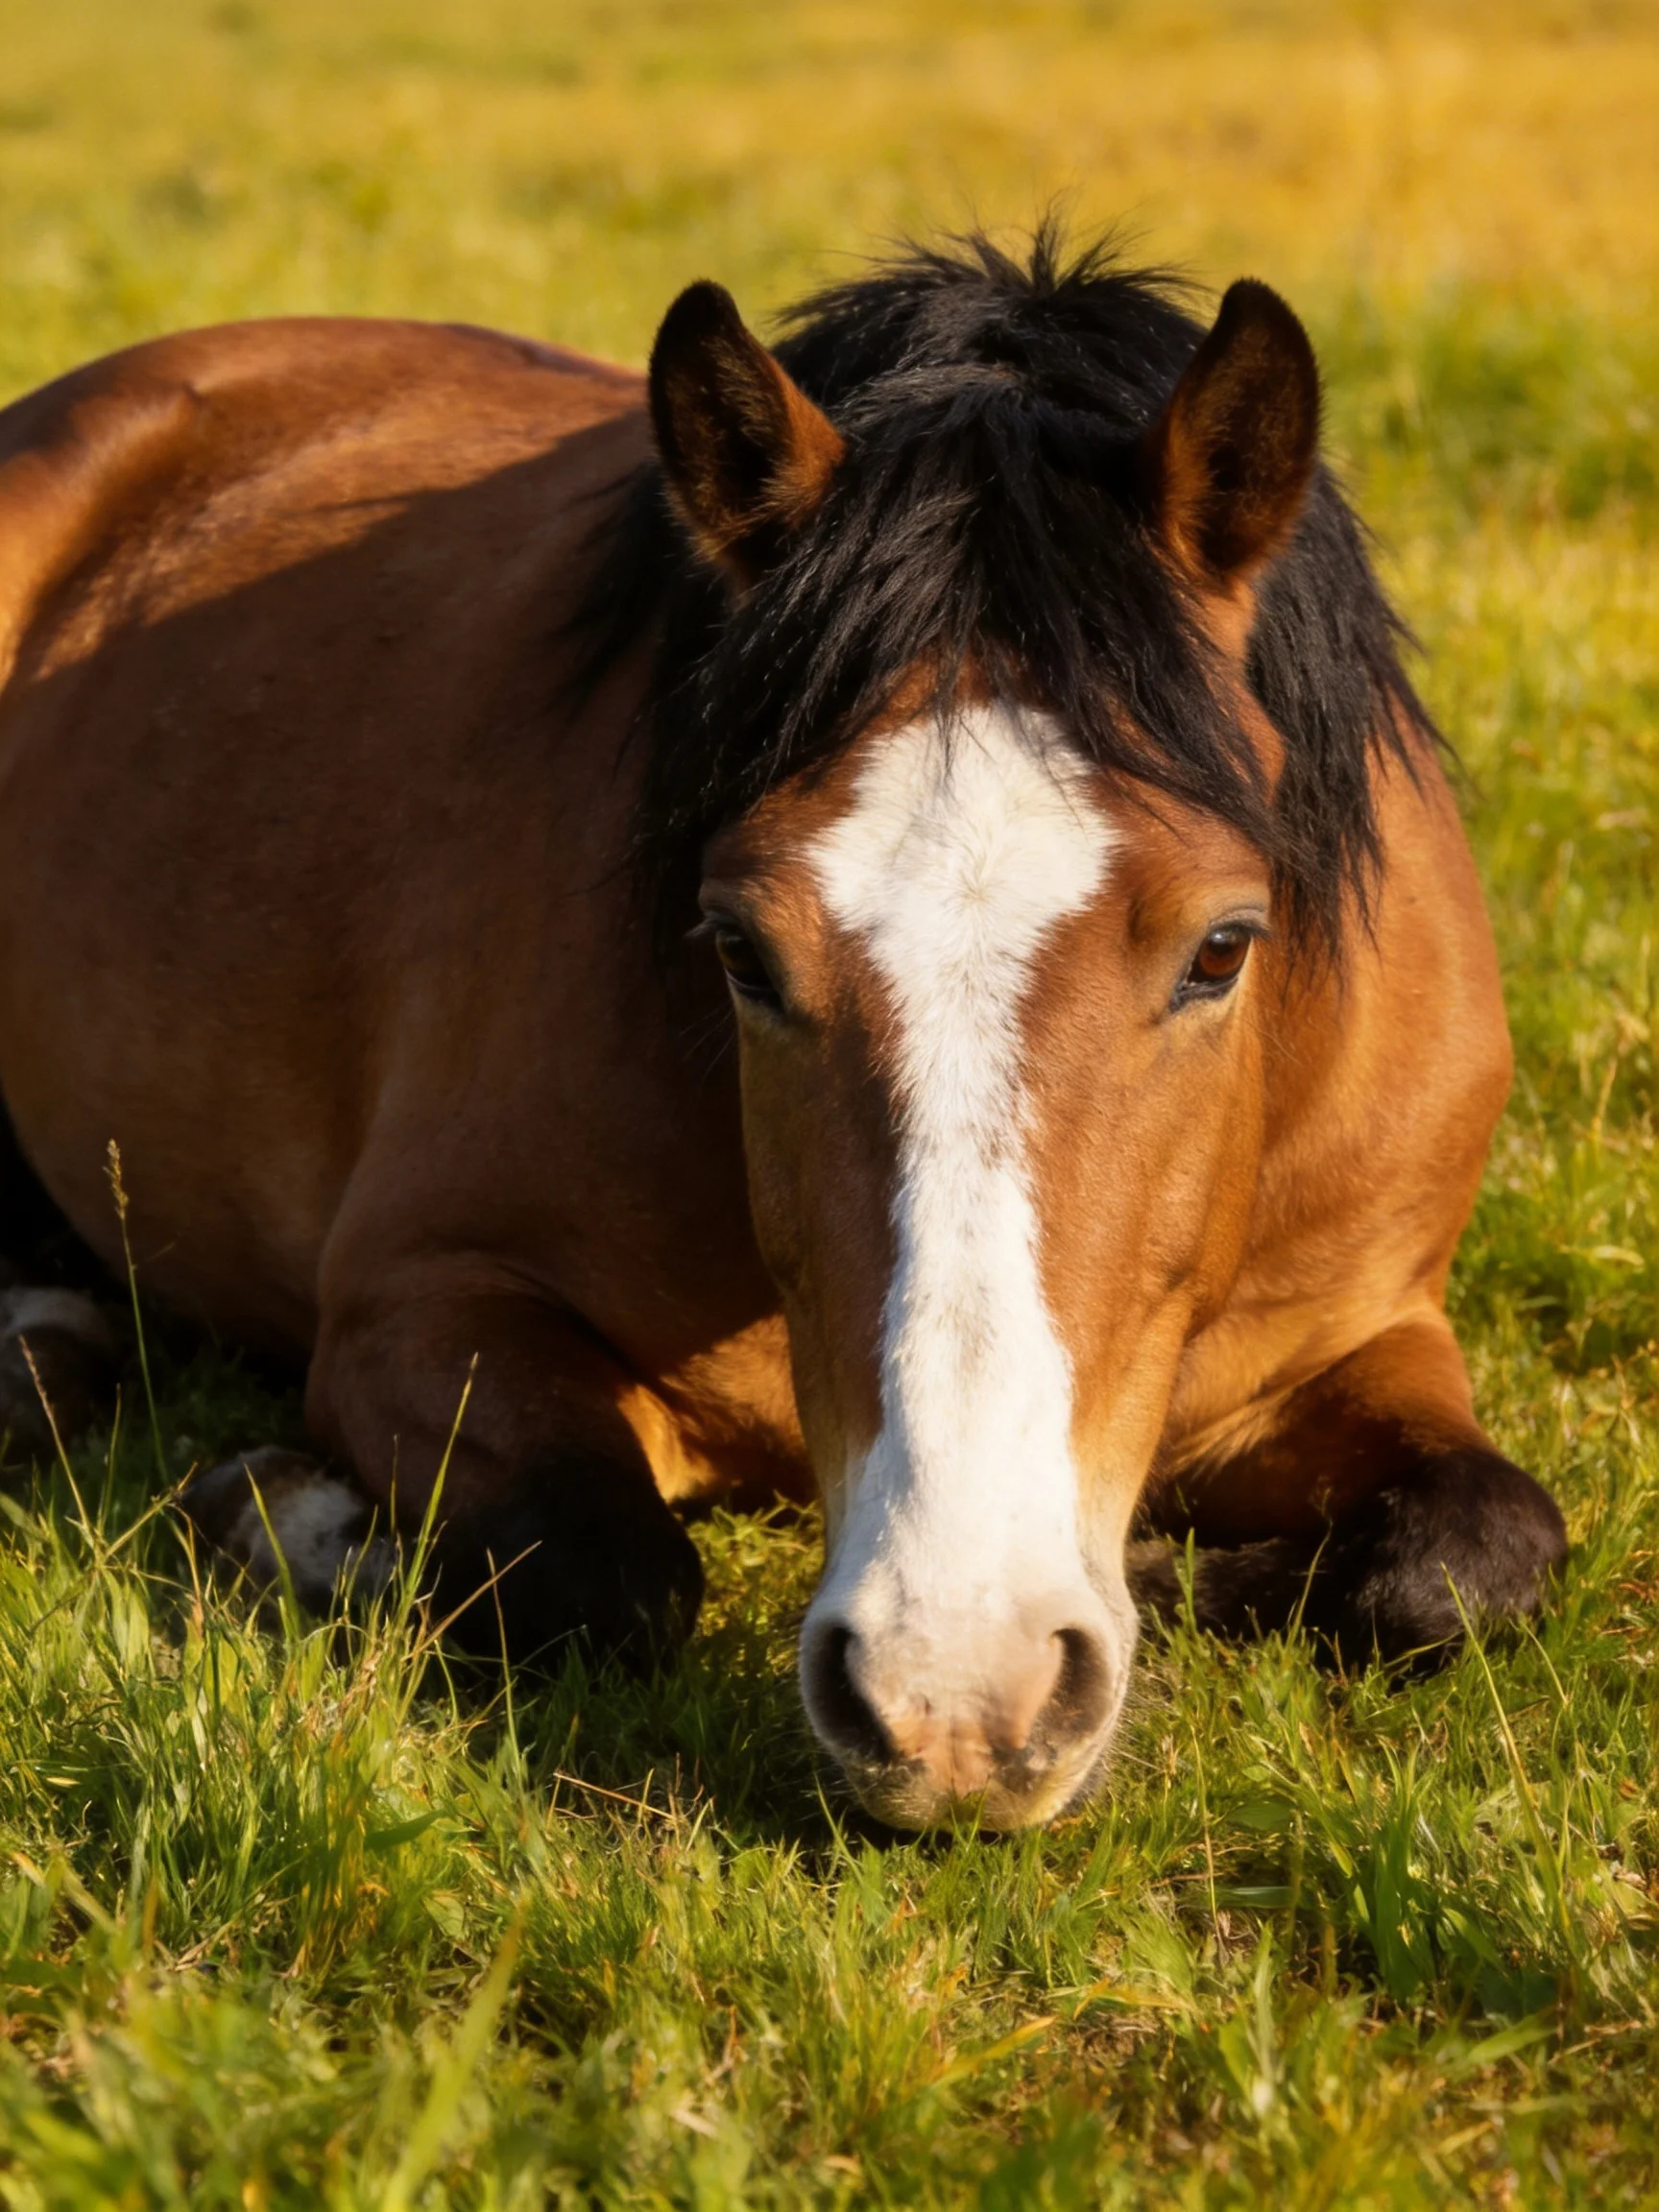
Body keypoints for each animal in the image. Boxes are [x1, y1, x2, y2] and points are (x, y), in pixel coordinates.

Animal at [0, 228, 1566, 1831]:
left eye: (1222, 948)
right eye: (742, 954)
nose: (960, 1694)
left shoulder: (1363, 1331)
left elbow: (1473, 1553)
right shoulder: (417, 1299)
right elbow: (604, 1569)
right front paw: (268, 1506)